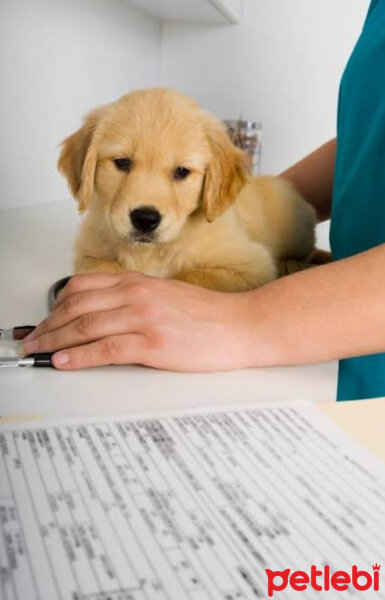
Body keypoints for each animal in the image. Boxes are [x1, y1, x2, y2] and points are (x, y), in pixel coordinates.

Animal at [57, 88, 316, 292]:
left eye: (182, 171)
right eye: (122, 162)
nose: (145, 219)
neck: (152, 251)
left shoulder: (253, 266)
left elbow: (185, 278)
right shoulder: (88, 255)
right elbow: (103, 269)